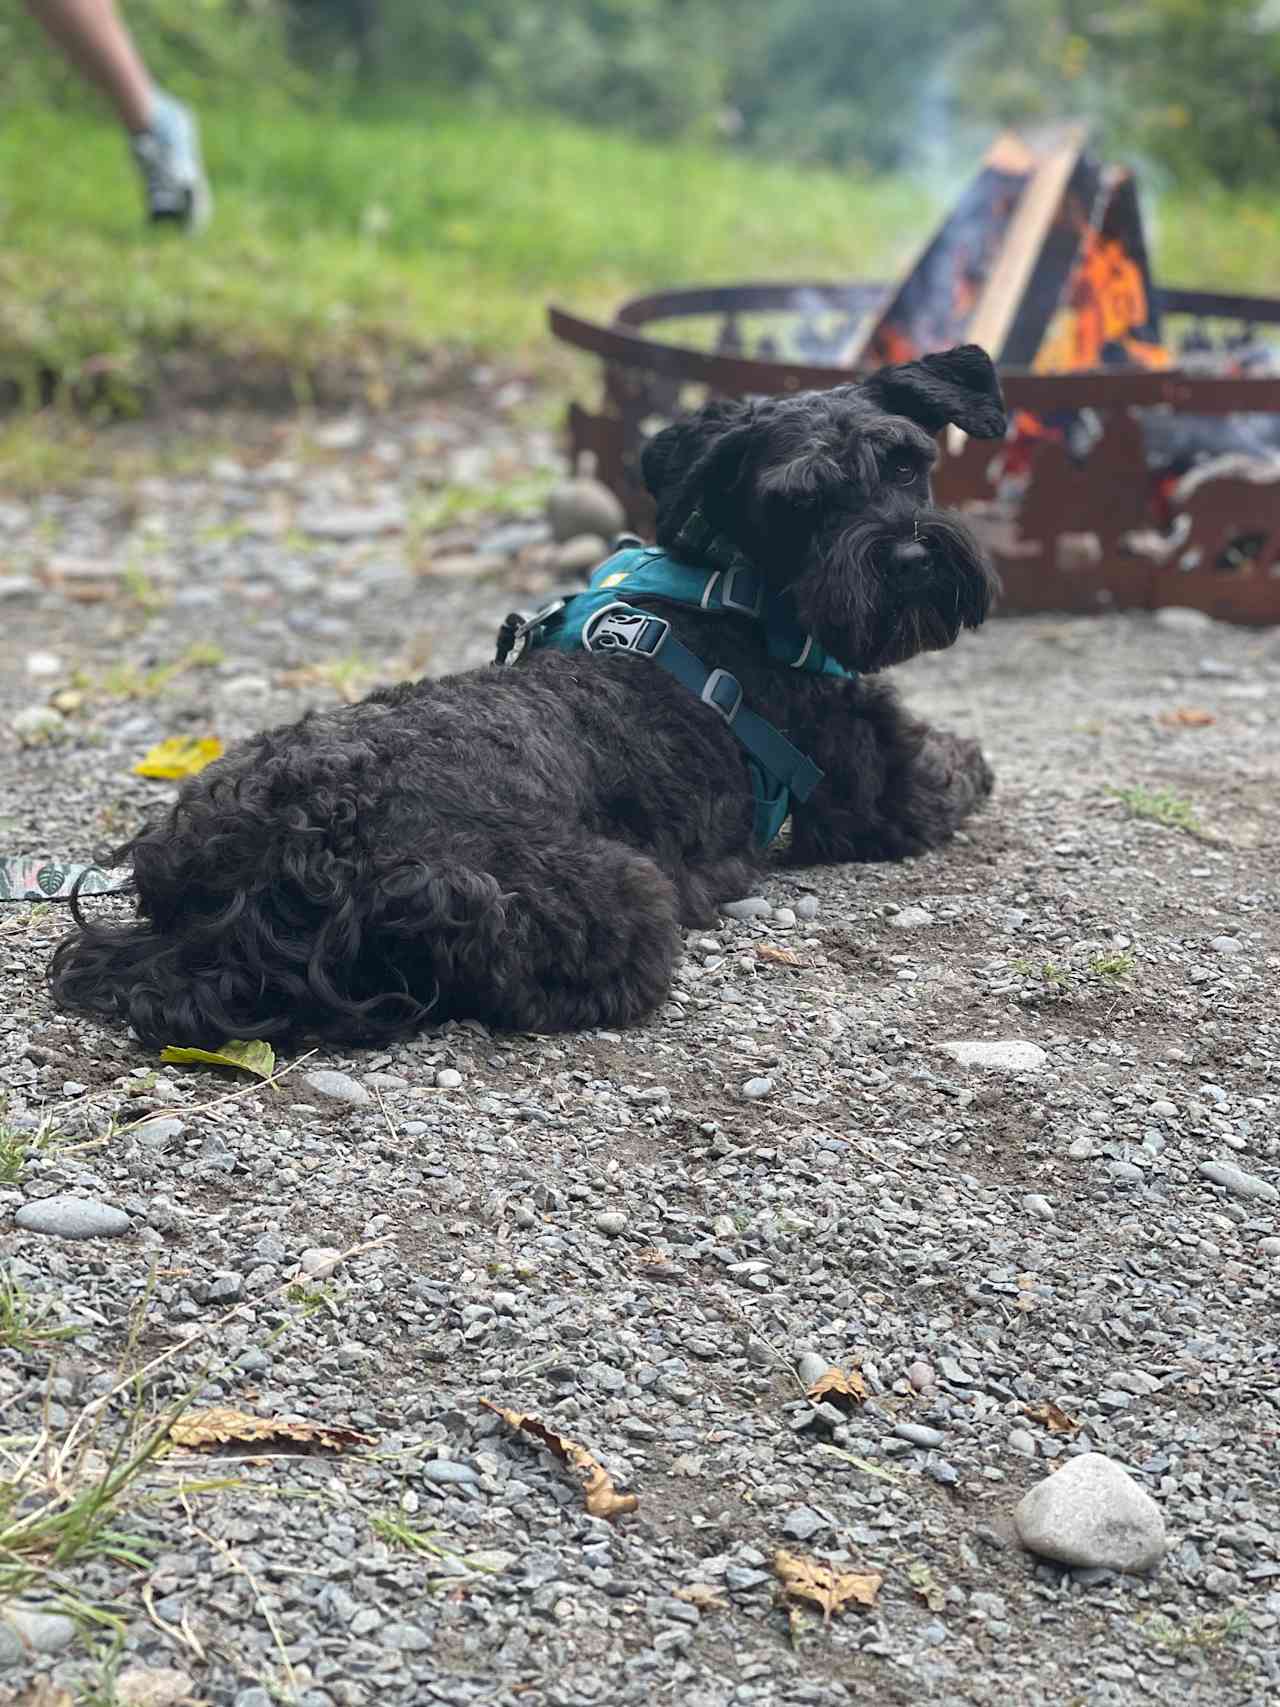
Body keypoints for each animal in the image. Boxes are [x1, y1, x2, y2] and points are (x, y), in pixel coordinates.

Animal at [50, 343, 1010, 1037]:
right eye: (801, 500)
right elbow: (952, 769)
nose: (911, 558)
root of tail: (273, 847)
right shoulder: (880, 784)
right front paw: (978, 760)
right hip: (611, 893)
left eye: (905, 462)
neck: (736, 590)